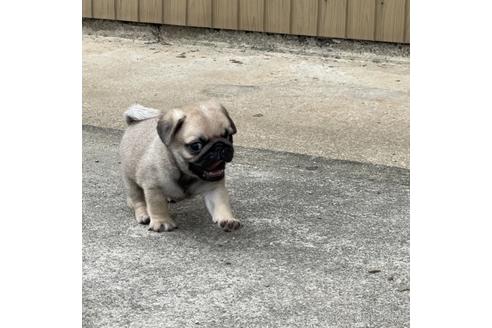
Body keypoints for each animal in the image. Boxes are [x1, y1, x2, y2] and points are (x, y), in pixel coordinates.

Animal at [120, 98, 241, 232]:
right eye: (196, 146)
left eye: (229, 136)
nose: (219, 146)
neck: (185, 175)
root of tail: (133, 122)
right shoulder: (154, 188)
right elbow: (157, 207)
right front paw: (162, 222)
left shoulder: (214, 188)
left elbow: (221, 203)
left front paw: (227, 219)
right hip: (130, 181)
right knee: (138, 200)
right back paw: (143, 214)